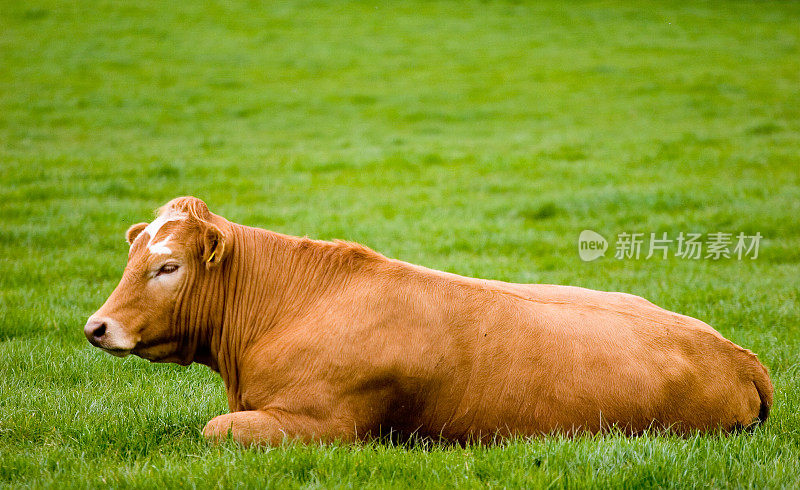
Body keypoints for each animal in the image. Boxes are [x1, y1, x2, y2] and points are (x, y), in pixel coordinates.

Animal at [83, 195, 776, 444]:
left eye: (167, 265)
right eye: (133, 255)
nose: (97, 327)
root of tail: (737, 353)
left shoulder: (324, 425)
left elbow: (214, 430)